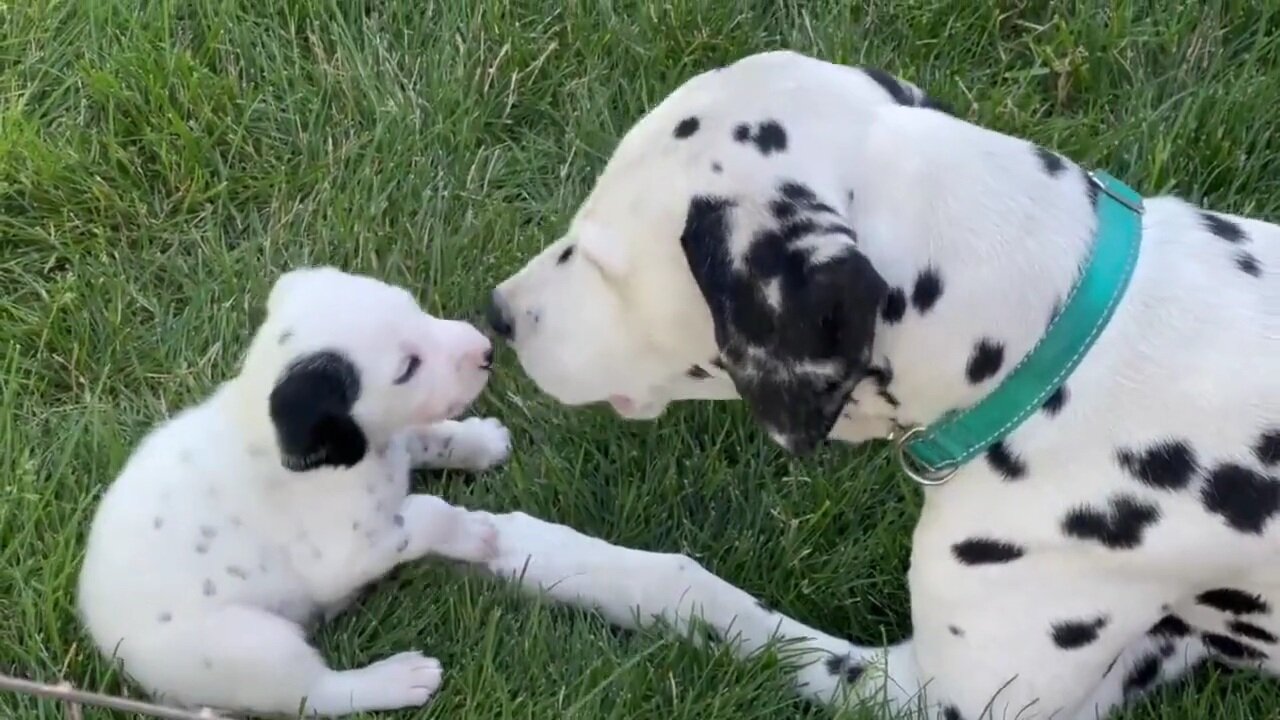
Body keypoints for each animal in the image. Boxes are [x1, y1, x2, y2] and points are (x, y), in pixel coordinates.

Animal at [76, 266, 509, 712]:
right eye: (408, 368)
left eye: (415, 307)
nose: (487, 351)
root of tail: (105, 641)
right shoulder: (346, 554)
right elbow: (427, 513)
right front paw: (472, 532)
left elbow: (431, 437)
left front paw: (481, 441)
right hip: (251, 647)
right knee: (317, 695)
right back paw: (396, 679)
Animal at [478, 49, 1280, 717]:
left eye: (599, 260)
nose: (499, 314)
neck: (1060, 344)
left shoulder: (941, 698)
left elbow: (698, 591)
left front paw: (528, 549)